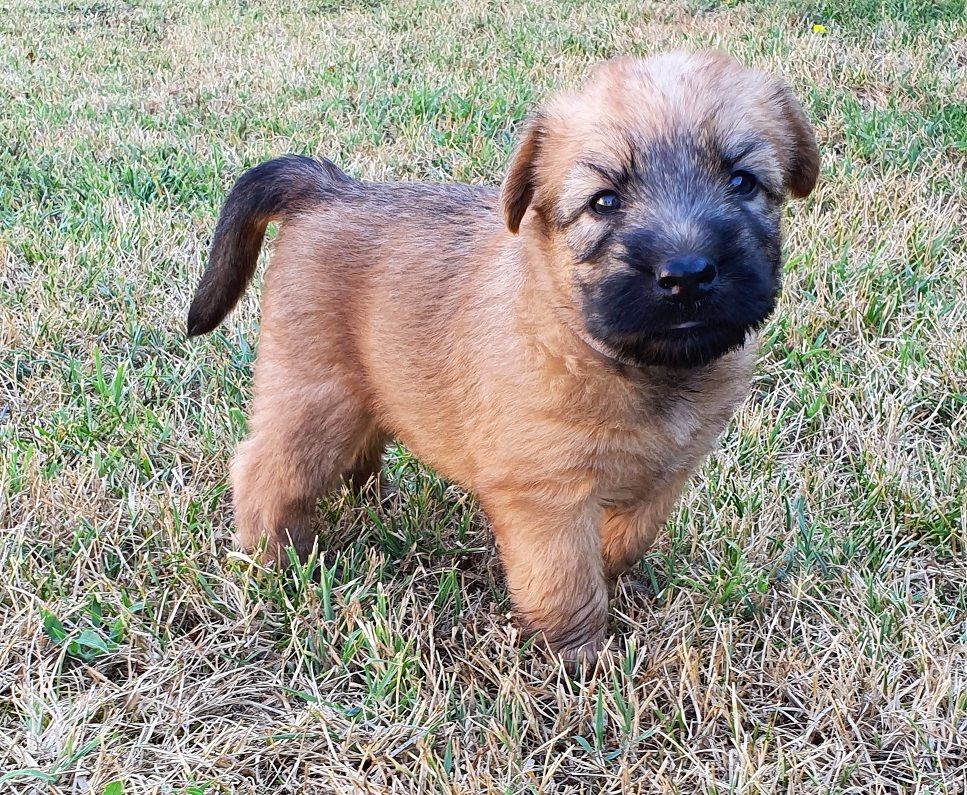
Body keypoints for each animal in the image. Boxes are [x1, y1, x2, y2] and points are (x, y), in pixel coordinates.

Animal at [187, 50, 818, 663]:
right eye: (604, 202)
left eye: (742, 182)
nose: (686, 275)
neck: (622, 360)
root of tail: (326, 187)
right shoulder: (548, 498)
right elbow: (567, 582)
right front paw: (580, 660)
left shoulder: (664, 478)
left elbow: (622, 544)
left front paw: (617, 585)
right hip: (316, 398)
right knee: (264, 472)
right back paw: (277, 561)